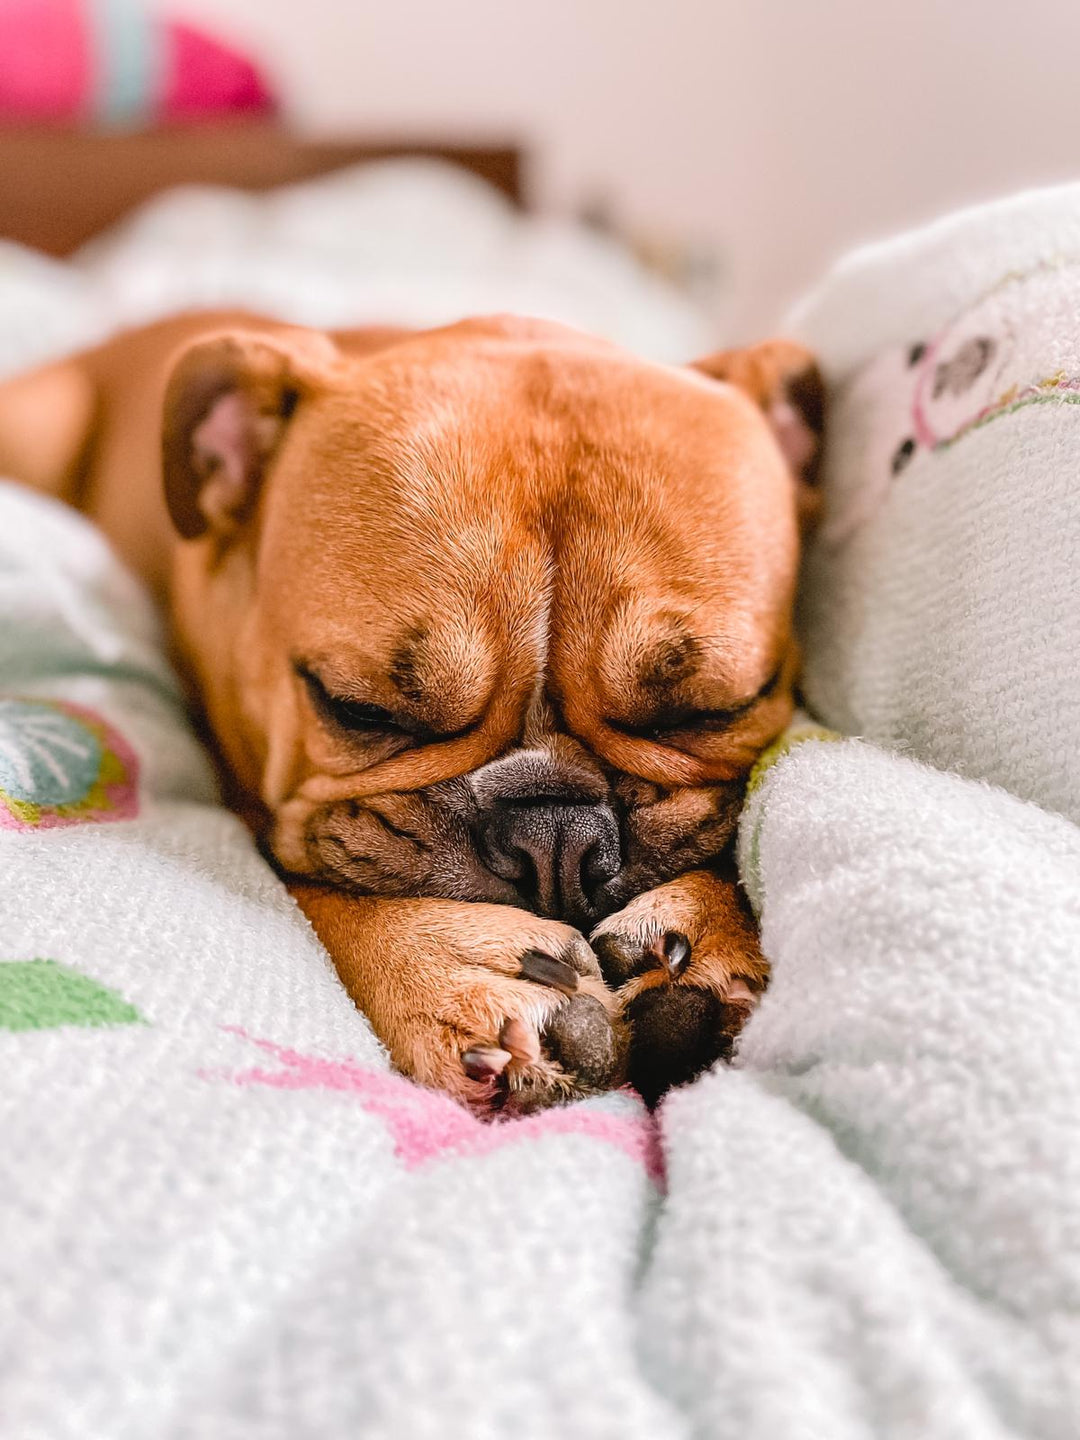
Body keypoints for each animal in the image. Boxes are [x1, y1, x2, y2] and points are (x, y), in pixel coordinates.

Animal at [0, 309, 823, 1105]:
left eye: (711, 711)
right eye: (361, 711)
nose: (555, 837)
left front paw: (711, 938)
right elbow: (322, 880)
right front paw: (439, 959)